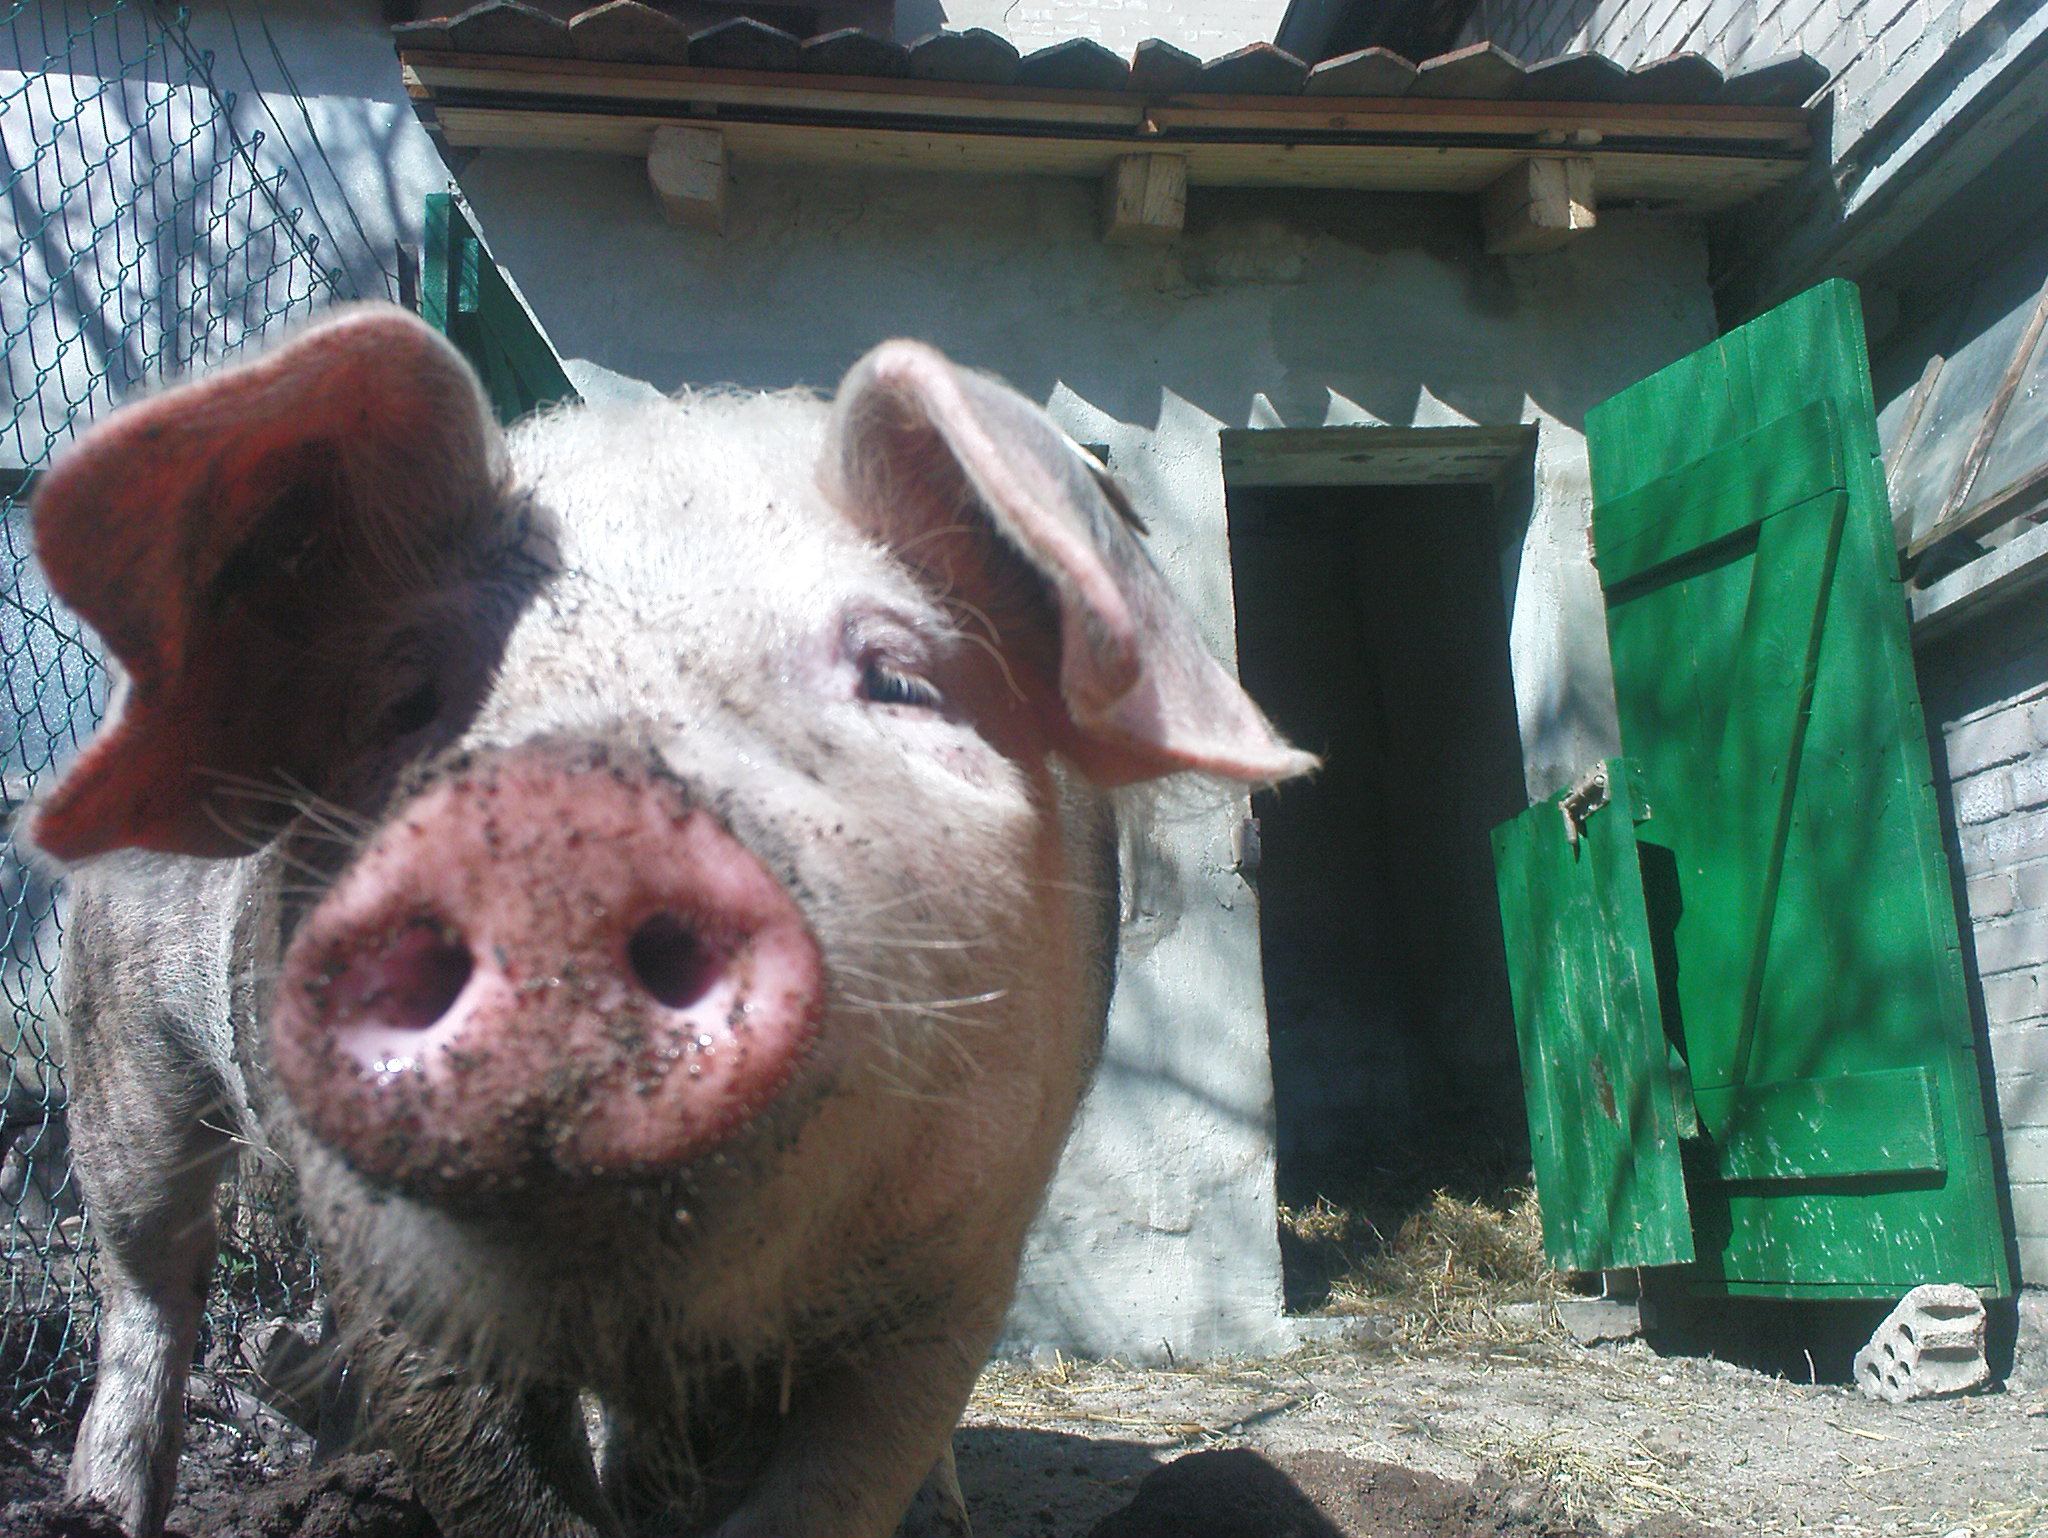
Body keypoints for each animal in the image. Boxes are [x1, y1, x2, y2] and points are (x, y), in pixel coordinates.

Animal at [28, 304, 1314, 1538]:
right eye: (402, 700)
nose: (558, 820)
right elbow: (497, 1480)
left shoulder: (964, 1243)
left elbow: (844, 1476)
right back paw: (100, 1508)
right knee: (146, 1280)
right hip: (120, 1047)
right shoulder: (383, 1274)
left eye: (897, 678)